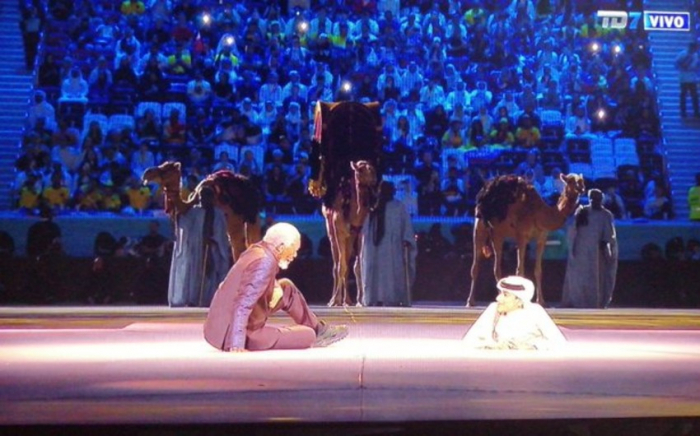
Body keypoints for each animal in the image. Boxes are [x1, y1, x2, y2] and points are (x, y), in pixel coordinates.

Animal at [322, 160, 378, 306]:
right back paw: (333, 300)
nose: (374, 179)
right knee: (336, 264)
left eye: (372, 168)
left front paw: (360, 301)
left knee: (347, 264)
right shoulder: (339, 233)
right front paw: (336, 300)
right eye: (362, 169)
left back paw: (347, 300)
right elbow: (340, 266)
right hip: (332, 234)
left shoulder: (360, 234)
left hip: (350, 239)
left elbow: (357, 266)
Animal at [468, 172, 588, 304]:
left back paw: (501, 297)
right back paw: (470, 301)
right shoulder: (522, 236)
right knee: (476, 266)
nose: (582, 188)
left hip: (498, 234)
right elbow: (520, 270)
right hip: (480, 227)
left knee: (497, 267)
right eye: (570, 181)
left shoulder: (542, 238)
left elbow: (538, 270)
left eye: (582, 181)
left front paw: (541, 301)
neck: (539, 214)